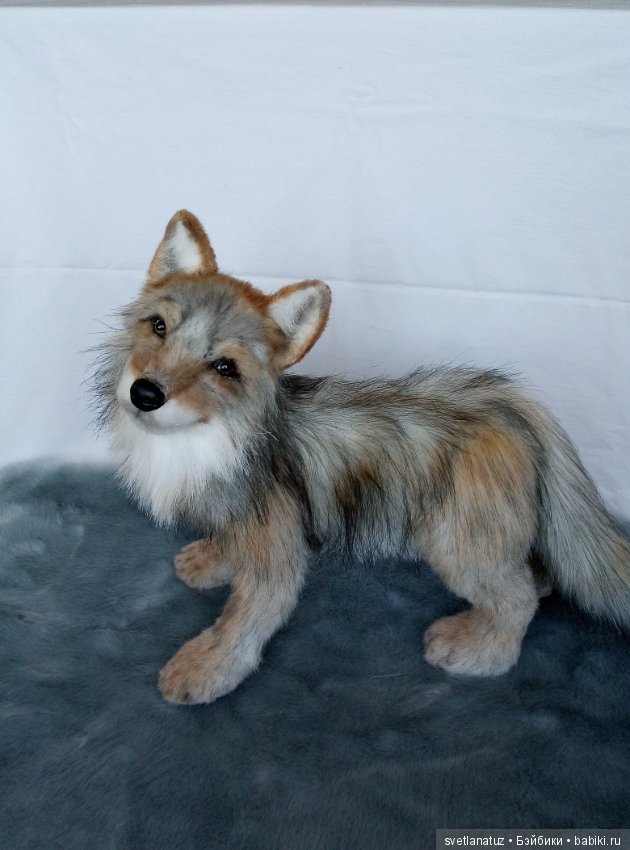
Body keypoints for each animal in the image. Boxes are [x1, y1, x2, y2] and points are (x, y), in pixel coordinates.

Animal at [94, 209, 630, 704]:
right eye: (158, 327)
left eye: (224, 367)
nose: (145, 394)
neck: (207, 438)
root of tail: (514, 407)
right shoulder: (239, 518)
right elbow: (227, 547)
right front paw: (212, 560)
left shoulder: (275, 555)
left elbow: (241, 623)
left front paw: (205, 669)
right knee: (534, 574)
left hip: (459, 543)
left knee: (516, 599)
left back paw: (478, 651)